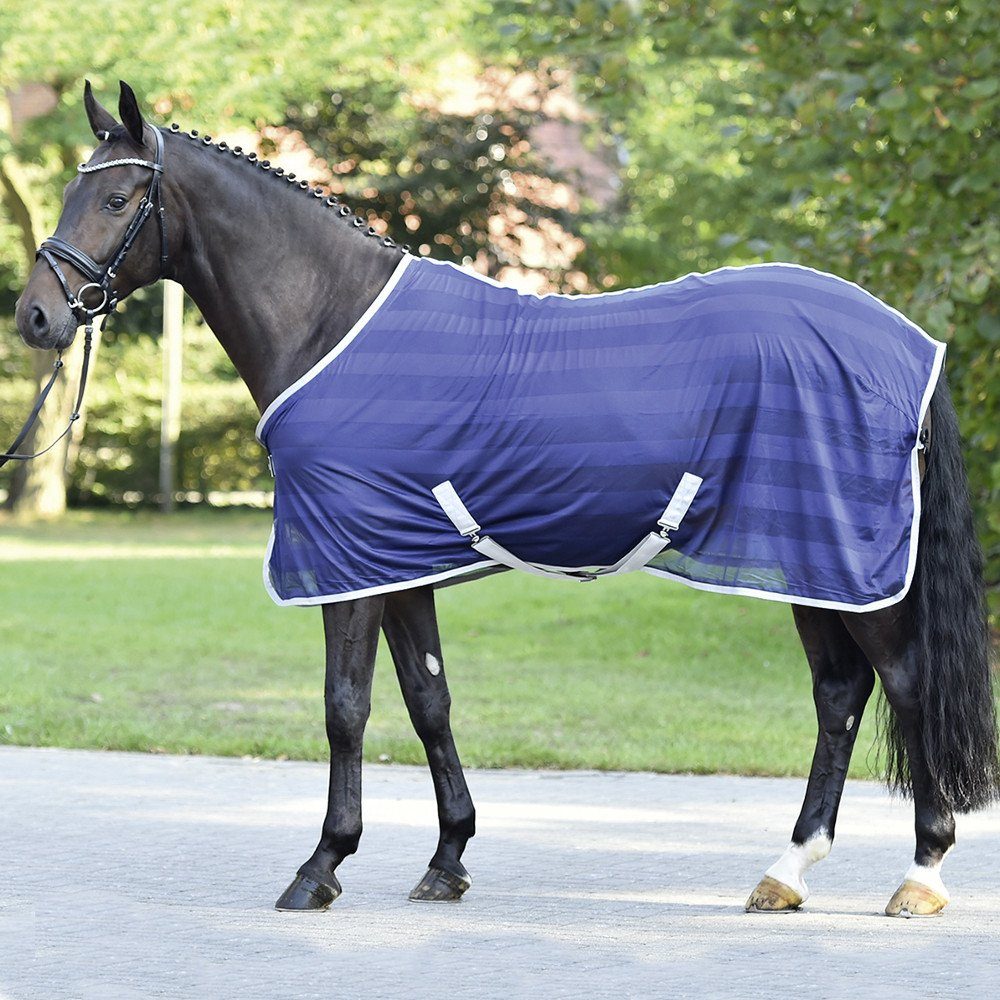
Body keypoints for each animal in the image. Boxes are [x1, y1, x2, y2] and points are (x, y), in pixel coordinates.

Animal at [13, 81, 999, 917]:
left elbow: (344, 707)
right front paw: (448, 857)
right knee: (839, 695)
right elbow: (428, 701)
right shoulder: (395, 564)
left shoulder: (346, 565)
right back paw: (786, 872)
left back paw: (919, 875)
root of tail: (907, 341)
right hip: (809, 563)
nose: (36, 317)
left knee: (904, 686)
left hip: (854, 566)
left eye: (114, 200)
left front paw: (321, 865)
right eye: (67, 192)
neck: (332, 317)